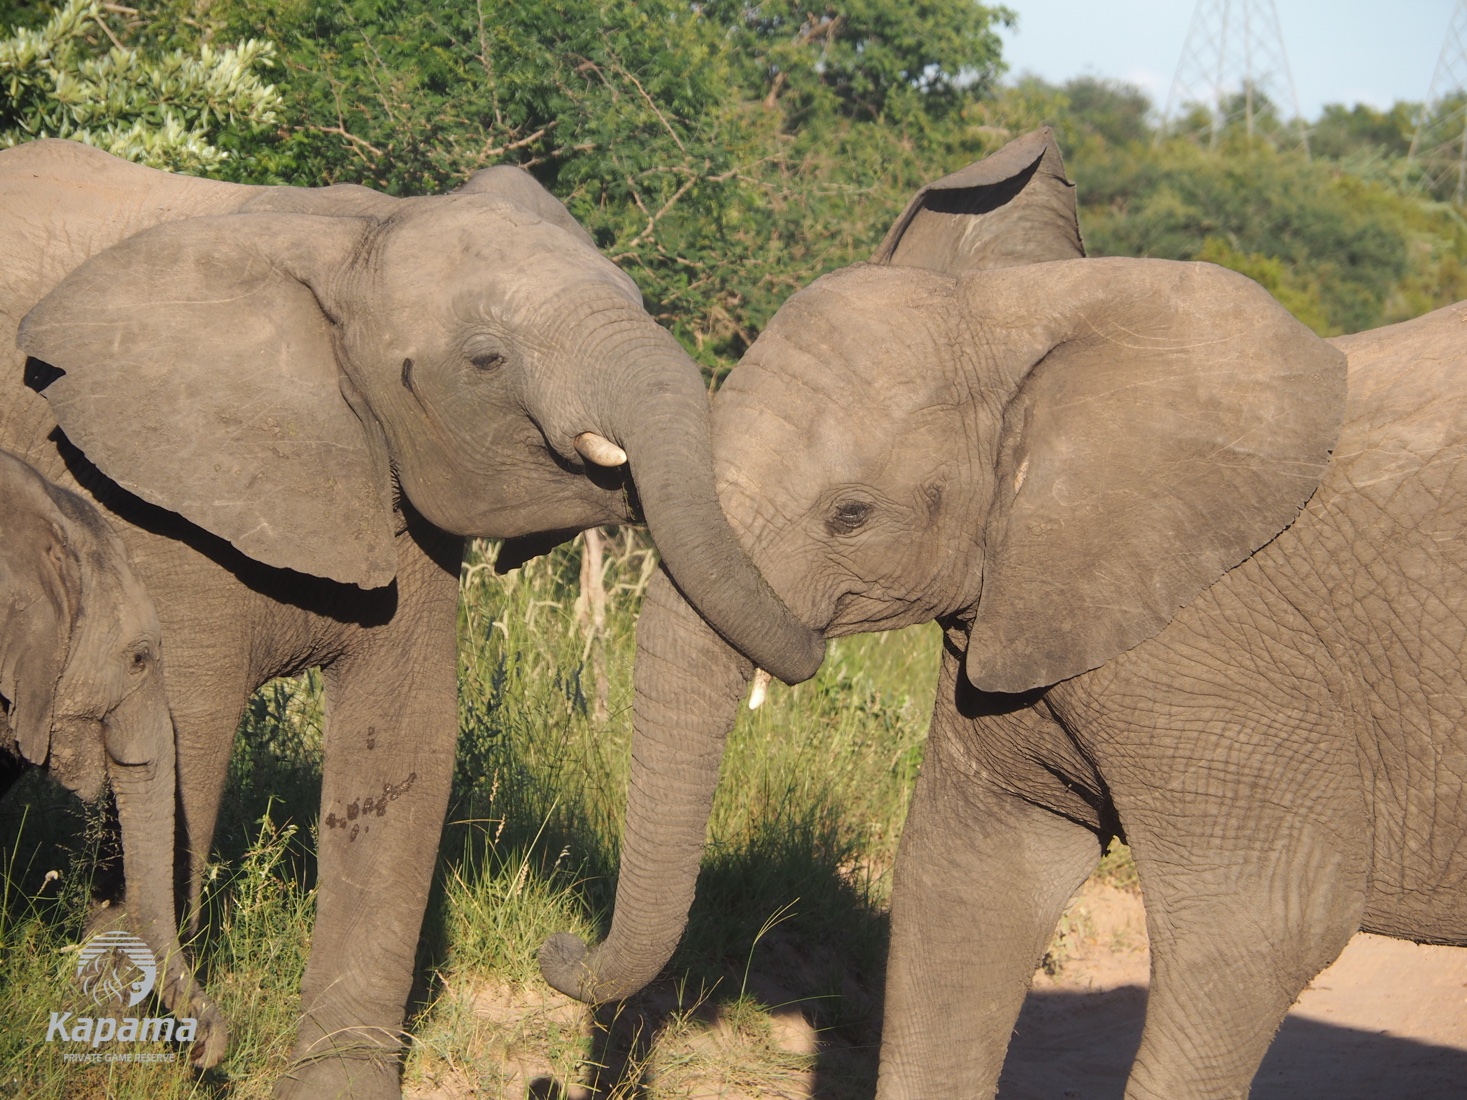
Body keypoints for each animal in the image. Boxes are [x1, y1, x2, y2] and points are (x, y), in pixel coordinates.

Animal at [541, 127, 1467, 1098]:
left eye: (850, 516)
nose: (556, 944)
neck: (1022, 321)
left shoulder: (1219, 648)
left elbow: (1264, 916)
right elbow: (963, 890)